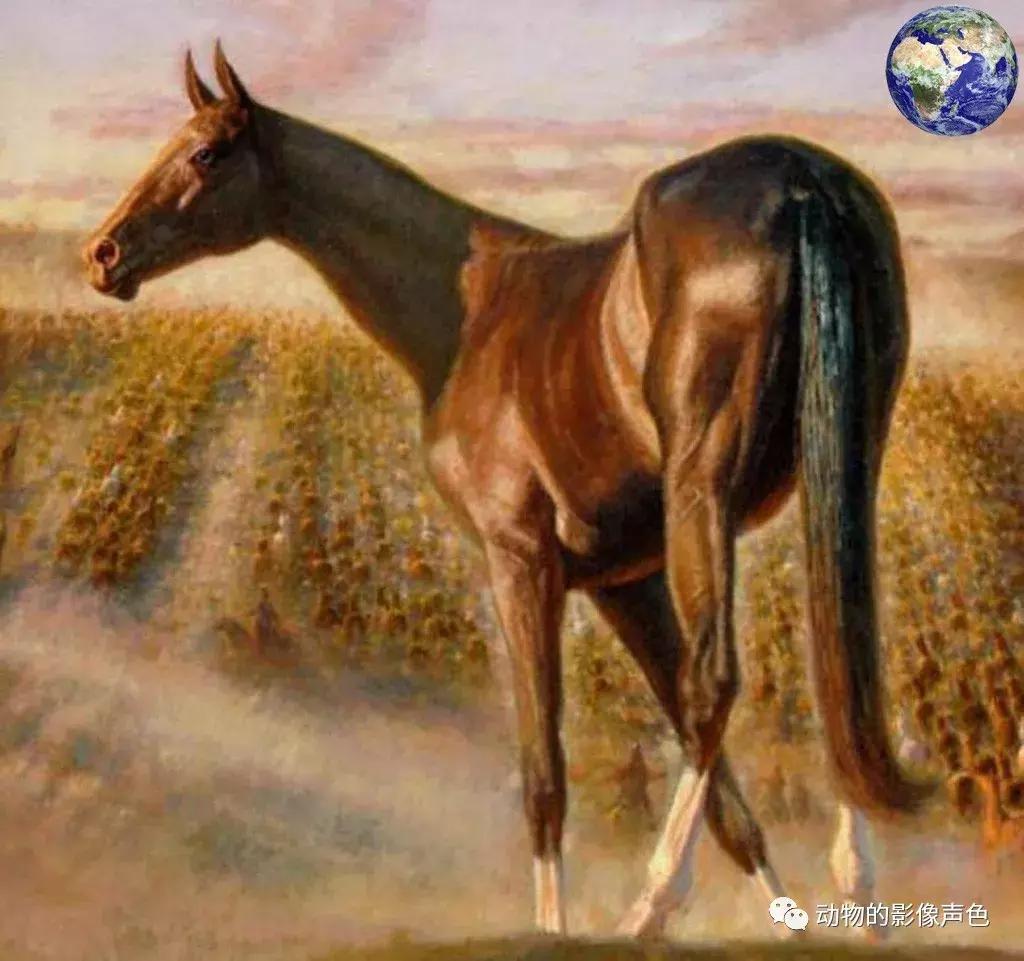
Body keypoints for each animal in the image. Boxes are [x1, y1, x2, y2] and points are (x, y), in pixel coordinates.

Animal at [84, 44, 931, 938]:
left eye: (207, 154)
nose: (104, 254)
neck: (468, 309)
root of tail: (803, 182)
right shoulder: (627, 583)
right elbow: (727, 796)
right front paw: (787, 915)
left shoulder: (521, 561)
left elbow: (546, 770)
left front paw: (559, 924)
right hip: (841, 470)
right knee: (836, 659)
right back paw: (852, 885)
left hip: (702, 493)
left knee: (718, 683)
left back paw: (653, 899)